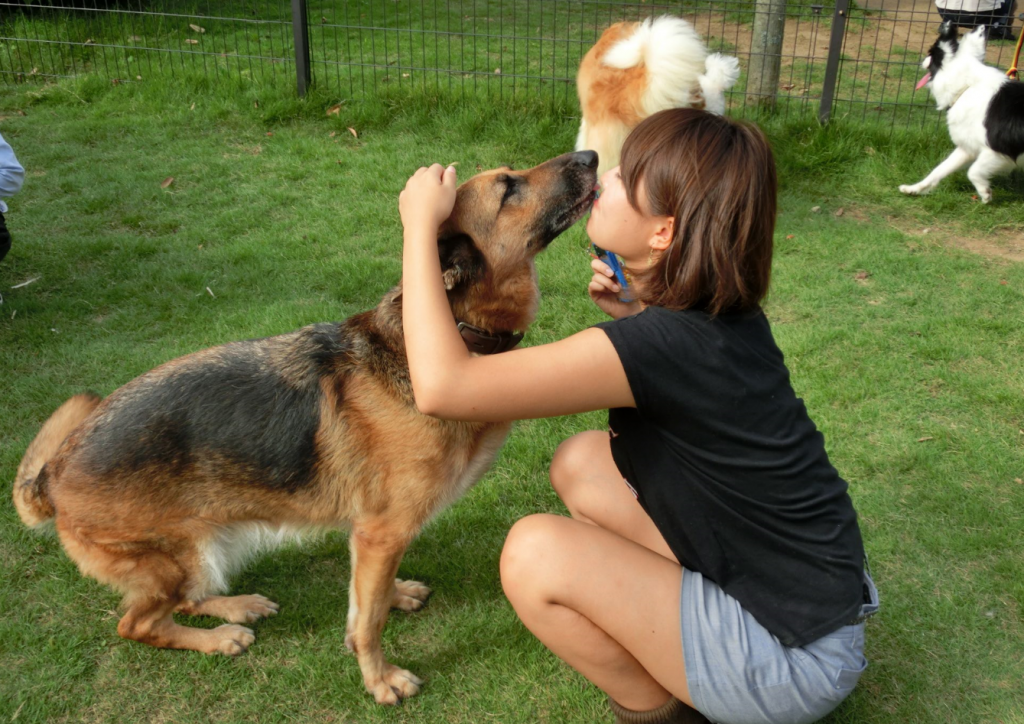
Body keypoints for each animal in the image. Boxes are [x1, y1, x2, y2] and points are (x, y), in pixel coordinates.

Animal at [9, 150, 598, 704]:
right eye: (508, 187)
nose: (591, 157)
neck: (446, 333)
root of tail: (51, 473)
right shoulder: (383, 532)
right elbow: (368, 621)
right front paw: (379, 678)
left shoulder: (371, 537)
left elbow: (366, 598)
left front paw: (391, 599)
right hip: (178, 557)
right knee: (139, 623)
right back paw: (219, 637)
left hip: (205, 548)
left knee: (188, 600)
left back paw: (237, 607)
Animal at [901, 21, 1019, 203]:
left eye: (930, 53)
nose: (922, 61)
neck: (966, 86)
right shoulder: (967, 148)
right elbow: (938, 170)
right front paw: (914, 189)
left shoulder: (998, 150)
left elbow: (973, 172)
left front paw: (985, 193)